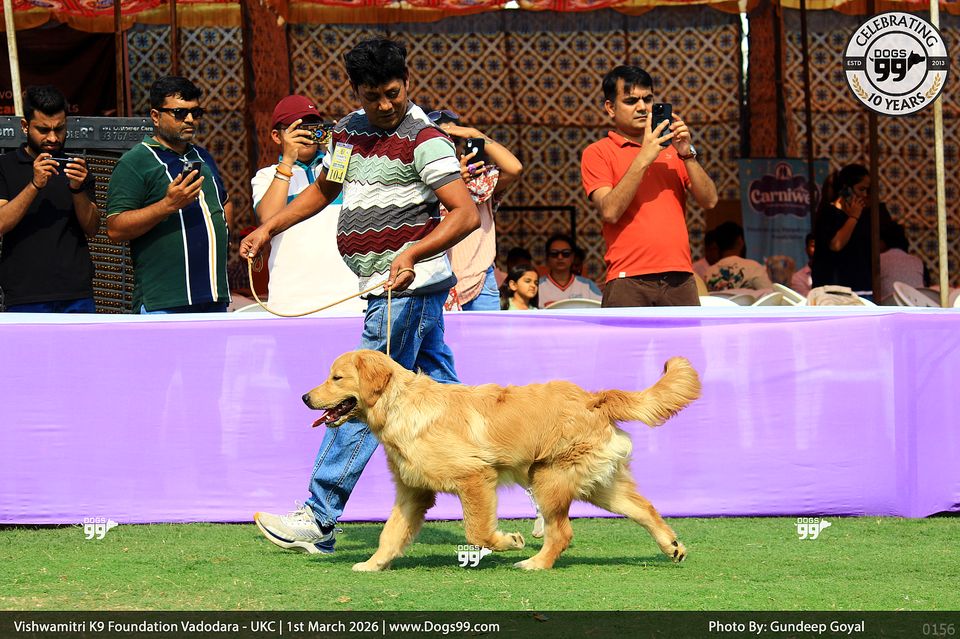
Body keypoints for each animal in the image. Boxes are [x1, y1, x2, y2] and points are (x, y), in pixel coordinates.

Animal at [302, 349, 701, 571]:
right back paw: (672, 546)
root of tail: (593, 398)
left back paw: (535, 563)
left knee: (562, 533)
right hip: (600, 486)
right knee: (644, 509)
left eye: (336, 377)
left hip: (548, 479)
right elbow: (390, 534)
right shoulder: (412, 493)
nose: (306, 397)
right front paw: (374, 564)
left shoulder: (475, 477)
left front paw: (509, 541)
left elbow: (477, 531)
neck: (401, 405)